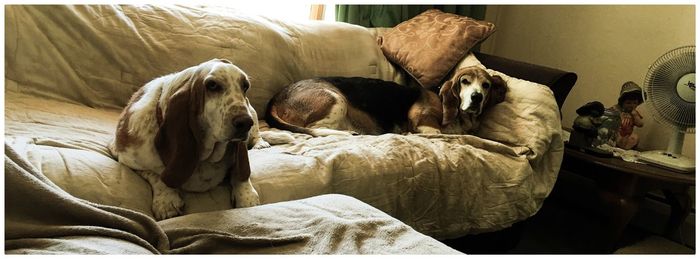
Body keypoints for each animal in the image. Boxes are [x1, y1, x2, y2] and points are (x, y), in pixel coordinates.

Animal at [266, 66, 506, 137]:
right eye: (465, 82)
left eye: (486, 85)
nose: (477, 97)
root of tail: (276, 98)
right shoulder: (425, 123)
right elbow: (437, 132)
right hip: (336, 99)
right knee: (319, 128)